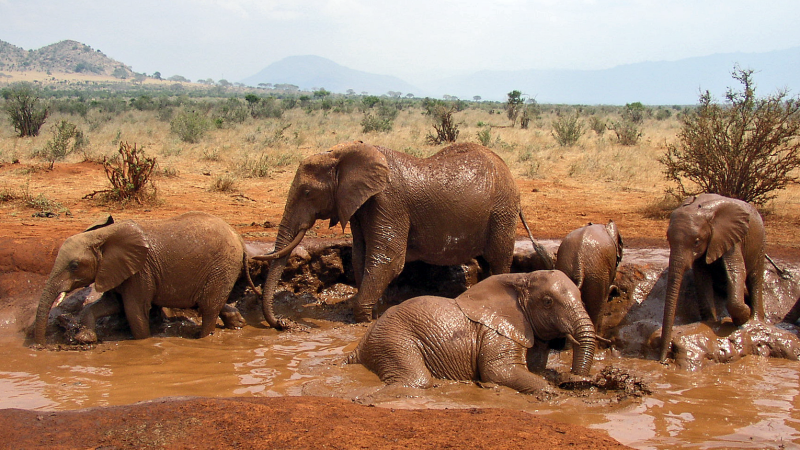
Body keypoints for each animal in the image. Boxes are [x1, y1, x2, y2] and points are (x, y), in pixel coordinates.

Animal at [32, 211, 253, 344]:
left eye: (74, 266)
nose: (41, 346)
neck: (103, 235)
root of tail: (238, 236)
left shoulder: (140, 270)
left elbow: (134, 309)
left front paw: (143, 342)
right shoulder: (115, 269)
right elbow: (111, 305)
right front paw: (85, 338)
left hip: (222, 265)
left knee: (208, 307)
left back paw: (204, 339)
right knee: (209, 303)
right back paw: (238, 323)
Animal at [258, 141, 556, 326]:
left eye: (308, 193)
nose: (282, 323)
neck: (342, 153)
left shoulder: (388, 201)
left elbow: (388, 259)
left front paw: (362, 318)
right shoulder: (361, 206)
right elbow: (361, 256)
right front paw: (374, 310)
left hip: (502, 212)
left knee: (498, 260)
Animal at [346, 270, 596, 394]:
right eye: (547, 302)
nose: (575, 379)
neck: (520, 278)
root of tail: (360, 345)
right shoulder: (496, 333)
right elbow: (499, 371)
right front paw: (553, 393)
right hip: (393, 339)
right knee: (417, 379)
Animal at [660, 193, 764, 362]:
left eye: (696, 241)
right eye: (668, 239)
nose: (662, 360)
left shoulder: (730, 236)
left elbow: (736, 269)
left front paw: (743, 317)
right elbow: (702, 276)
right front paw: (710, 322)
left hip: (760, 240)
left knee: (755, 277)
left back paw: (756, 320)